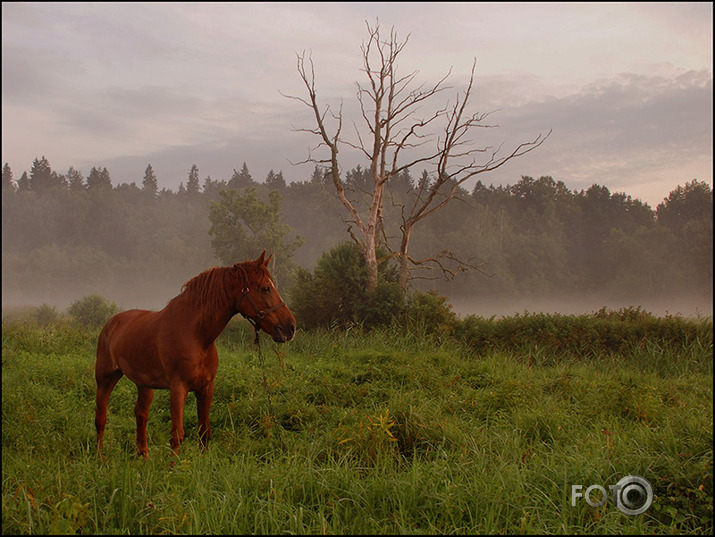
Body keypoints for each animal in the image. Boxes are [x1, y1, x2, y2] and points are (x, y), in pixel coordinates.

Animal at [96, 251, 296, 456]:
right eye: (265, 288)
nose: (290, 327)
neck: (196, 335)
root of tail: (111, 322)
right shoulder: (178, 388)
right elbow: (177, 434)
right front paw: (174, 465)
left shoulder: (206, 388)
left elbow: (204, 431)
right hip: (105, 379)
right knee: (101, 417)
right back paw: (99, 457)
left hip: (144, 384)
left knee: (141, 414)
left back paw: (144, 456)